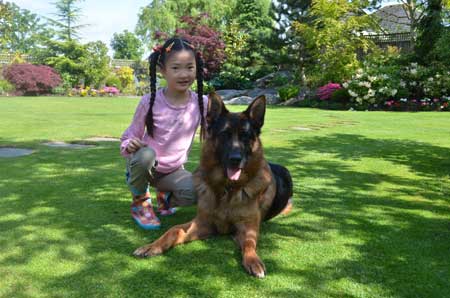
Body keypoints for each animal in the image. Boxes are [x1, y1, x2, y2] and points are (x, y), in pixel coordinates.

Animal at [134, 92, 294, 278]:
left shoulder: (248, 227)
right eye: (225, 134)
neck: (228, 189)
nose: (235, 159)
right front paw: (153, 246)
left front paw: (253, 260)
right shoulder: (203, 223)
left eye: (245, 136)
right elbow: (174, 230)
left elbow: (249, 243)